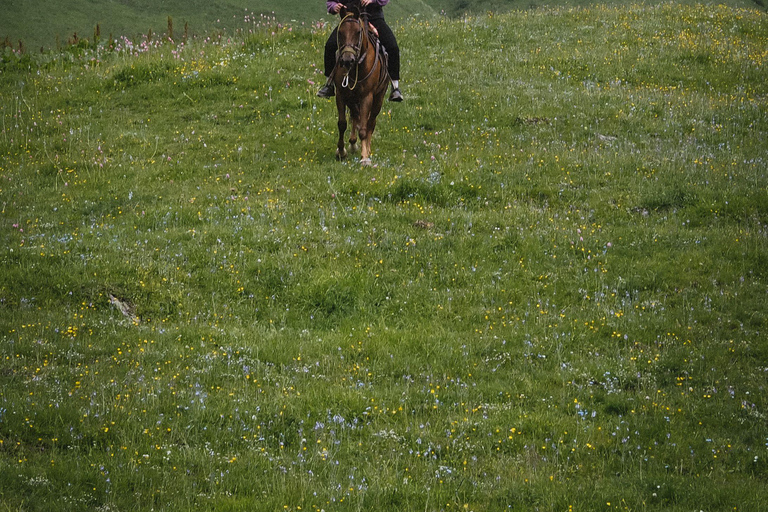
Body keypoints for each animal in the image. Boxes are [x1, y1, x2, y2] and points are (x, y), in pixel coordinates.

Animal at [332, 5, 390, 166]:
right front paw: (341, 151)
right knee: (355, 116)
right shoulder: (341, 94)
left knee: (370, 122)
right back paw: (352, 143)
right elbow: (342, 123)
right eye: (340, 32)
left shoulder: (366, 97)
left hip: (378, 98)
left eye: (358, 32)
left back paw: (366, 148)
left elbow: (364, 128)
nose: (347, 59)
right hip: (352, 99)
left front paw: (364, 157)